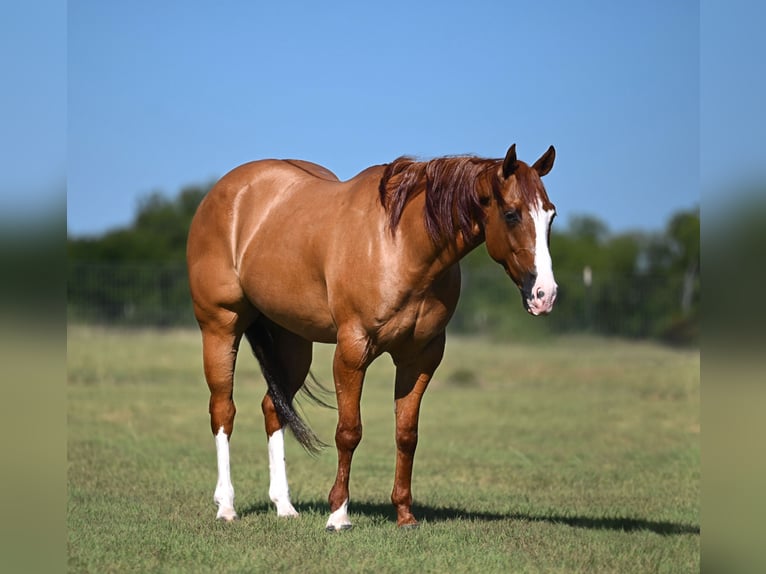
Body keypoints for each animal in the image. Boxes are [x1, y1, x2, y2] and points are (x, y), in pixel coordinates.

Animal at [186, 144, 557, 530]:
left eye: (551, 215)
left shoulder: (420, 358)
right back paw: (227, 506)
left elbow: (406, 434)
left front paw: (405, 514)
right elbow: (349, 431)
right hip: (220, 327)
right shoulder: (352, 351)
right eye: (512, 214)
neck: (401, 245)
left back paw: (284, 505)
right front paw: (338, 514)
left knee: (273, 409)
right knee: (223, 411)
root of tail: (224, 192)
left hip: (293, 343)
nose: (545, 295)